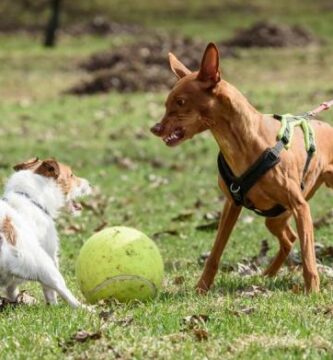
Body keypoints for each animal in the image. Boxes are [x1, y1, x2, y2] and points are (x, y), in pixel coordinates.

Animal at [0, 158, 91, 306]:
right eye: (71, 175)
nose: (90, 184)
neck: (31, 199)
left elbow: (11, 289)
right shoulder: (50, 252)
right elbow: (50, 293)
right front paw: (54, 306)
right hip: (44, 266)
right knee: (67, 295)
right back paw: (86, 308)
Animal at [149, 43, 332, 294]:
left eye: (181, 102)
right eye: (167, 103)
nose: (154, 129)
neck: (241, 143)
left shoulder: (300, 207)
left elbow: (308, 255)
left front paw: (312, 290)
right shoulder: (231, 204)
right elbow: (215, 253)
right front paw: (201, 288)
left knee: (294, 238)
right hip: (275, 217)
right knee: (289, 238)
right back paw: (268, 274)